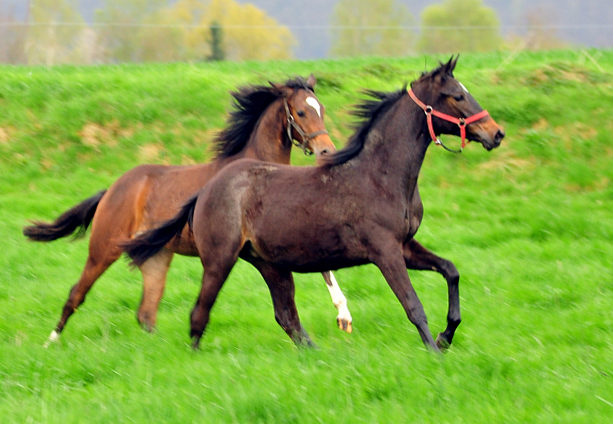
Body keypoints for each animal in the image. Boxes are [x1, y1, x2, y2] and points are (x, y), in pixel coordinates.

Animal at [23, 75, 352, 348]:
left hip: (156, 258)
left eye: (321, 108)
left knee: (146, 312)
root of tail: (112, 189)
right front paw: (342, 316)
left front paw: (344, 316)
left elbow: (325, 268)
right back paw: (49, 343)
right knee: (76, 294)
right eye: (301, 112)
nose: (326, 150)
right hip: (104, 249)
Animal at [123, 58, 502, 352]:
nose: (496, 133)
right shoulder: (385, 250)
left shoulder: (405, 245)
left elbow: (451, 270)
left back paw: (315, 352)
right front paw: (435, 350)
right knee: (200, 314)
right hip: (219, 260)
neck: (380, 175)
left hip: (270, 264)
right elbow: (413, 304)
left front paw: (445, 336)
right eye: (458, 96)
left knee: (286, 316)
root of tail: (204, 190)